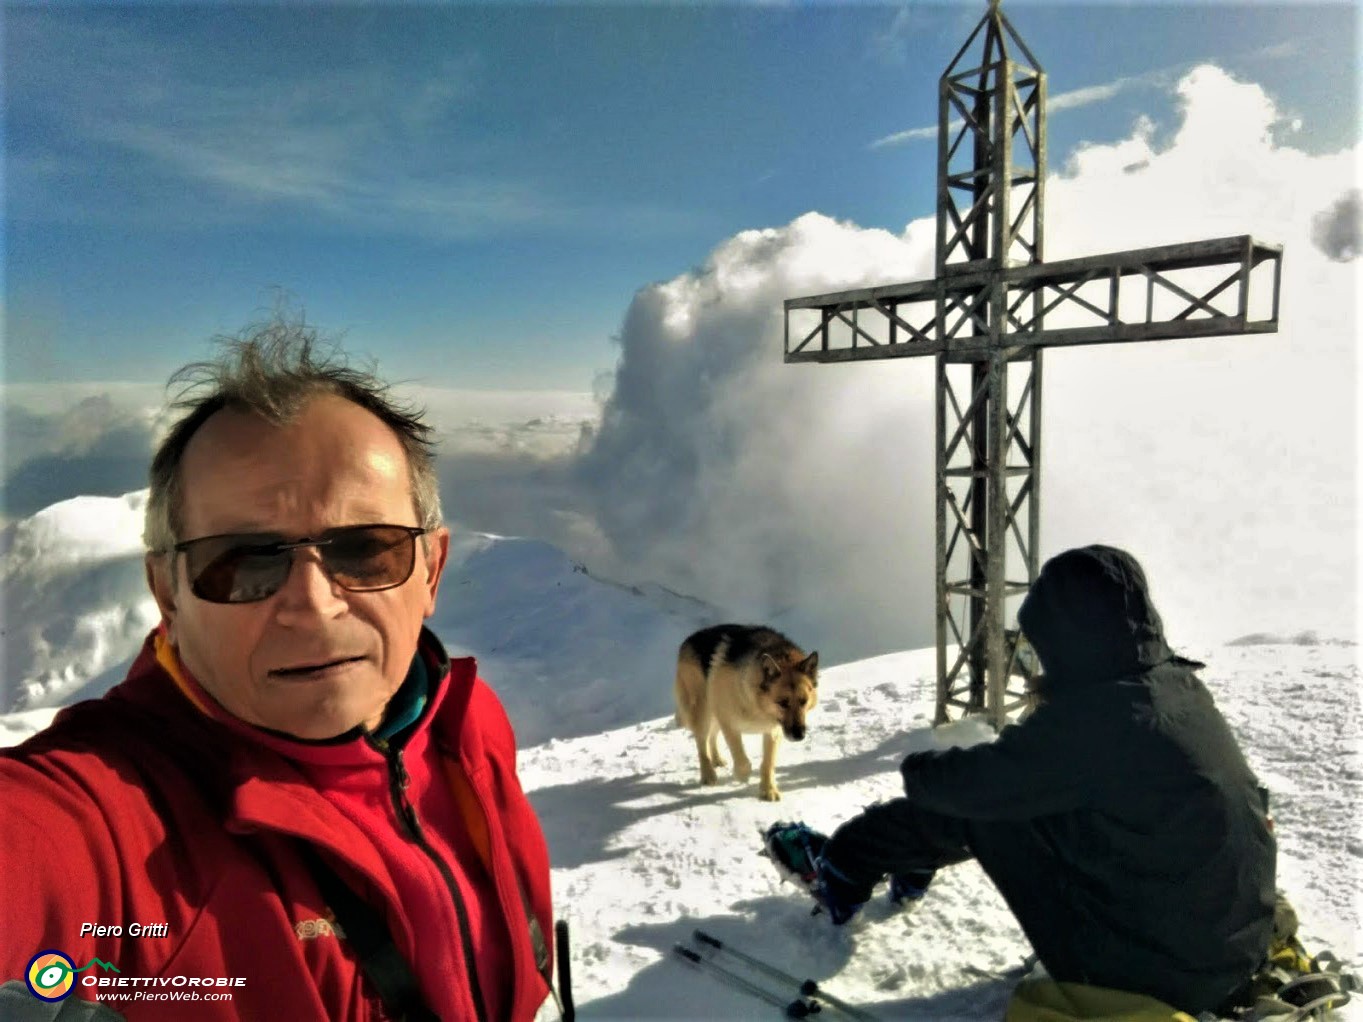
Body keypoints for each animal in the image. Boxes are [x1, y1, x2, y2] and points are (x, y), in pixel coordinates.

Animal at [673, 624, 817, 801]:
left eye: (803, 701)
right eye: (783, 703)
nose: (799, 736)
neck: (758, 706)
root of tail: (688, 640)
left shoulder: (773, 730)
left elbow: (768, 763)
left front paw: (768, 790)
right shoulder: (729, 723)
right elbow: (742, 761)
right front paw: (742, 777)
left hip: (713, 714)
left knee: (712, 737)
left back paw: (717, 759)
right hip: (703, 712)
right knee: (701, 744)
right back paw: (708, 774)